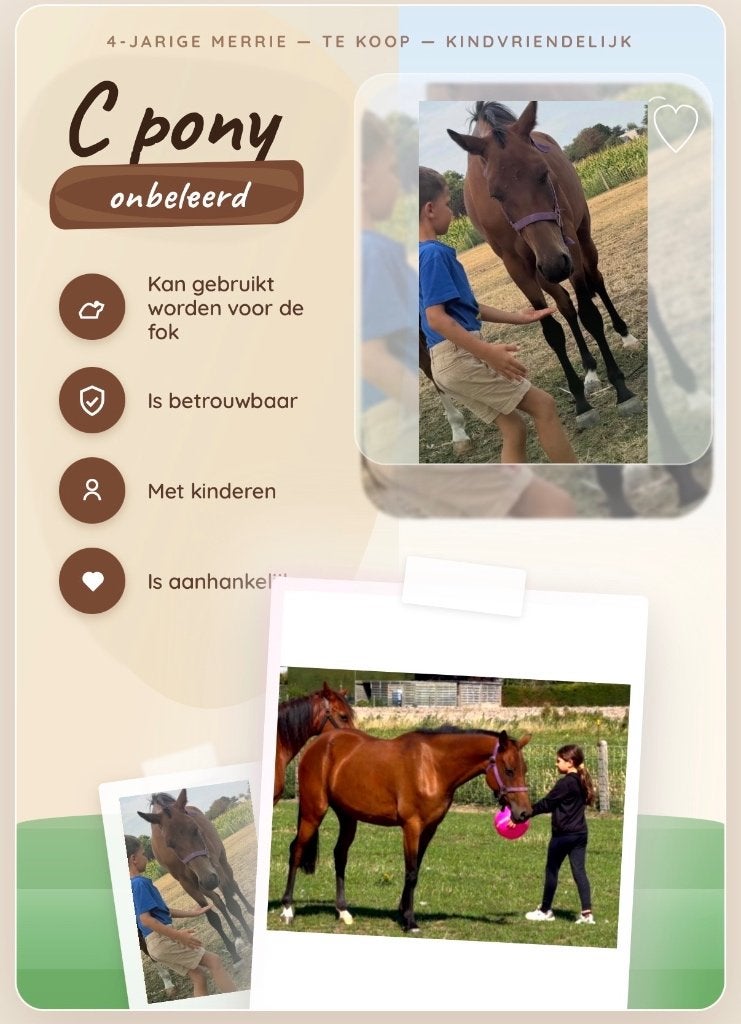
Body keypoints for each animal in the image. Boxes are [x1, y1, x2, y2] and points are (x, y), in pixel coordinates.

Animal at [279, 726, 531, 932]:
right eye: (509, 770)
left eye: (525, 769)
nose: (524, 813)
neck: (433, 767)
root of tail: (318, 744)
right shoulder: (411, 827)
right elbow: (410, 872)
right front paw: (410, 921)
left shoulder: (429, 829)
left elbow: (416, 868)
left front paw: (402, 912)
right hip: (313, 812)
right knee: (297, 851)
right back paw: (287, 909)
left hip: (348, 817)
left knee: (340, 855)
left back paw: (343, 911)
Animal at [448, 100, 643, 430]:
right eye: (495, 193)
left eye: (543, 173)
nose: (554, 264)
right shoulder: (519, 268)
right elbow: (553, 330)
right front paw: (580, 401)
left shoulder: (569, 247)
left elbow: (590, 315)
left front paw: (621, 388)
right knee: (566, 306)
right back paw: (589, 371)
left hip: (581, 241)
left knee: (596, 281)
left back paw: (625, 336)